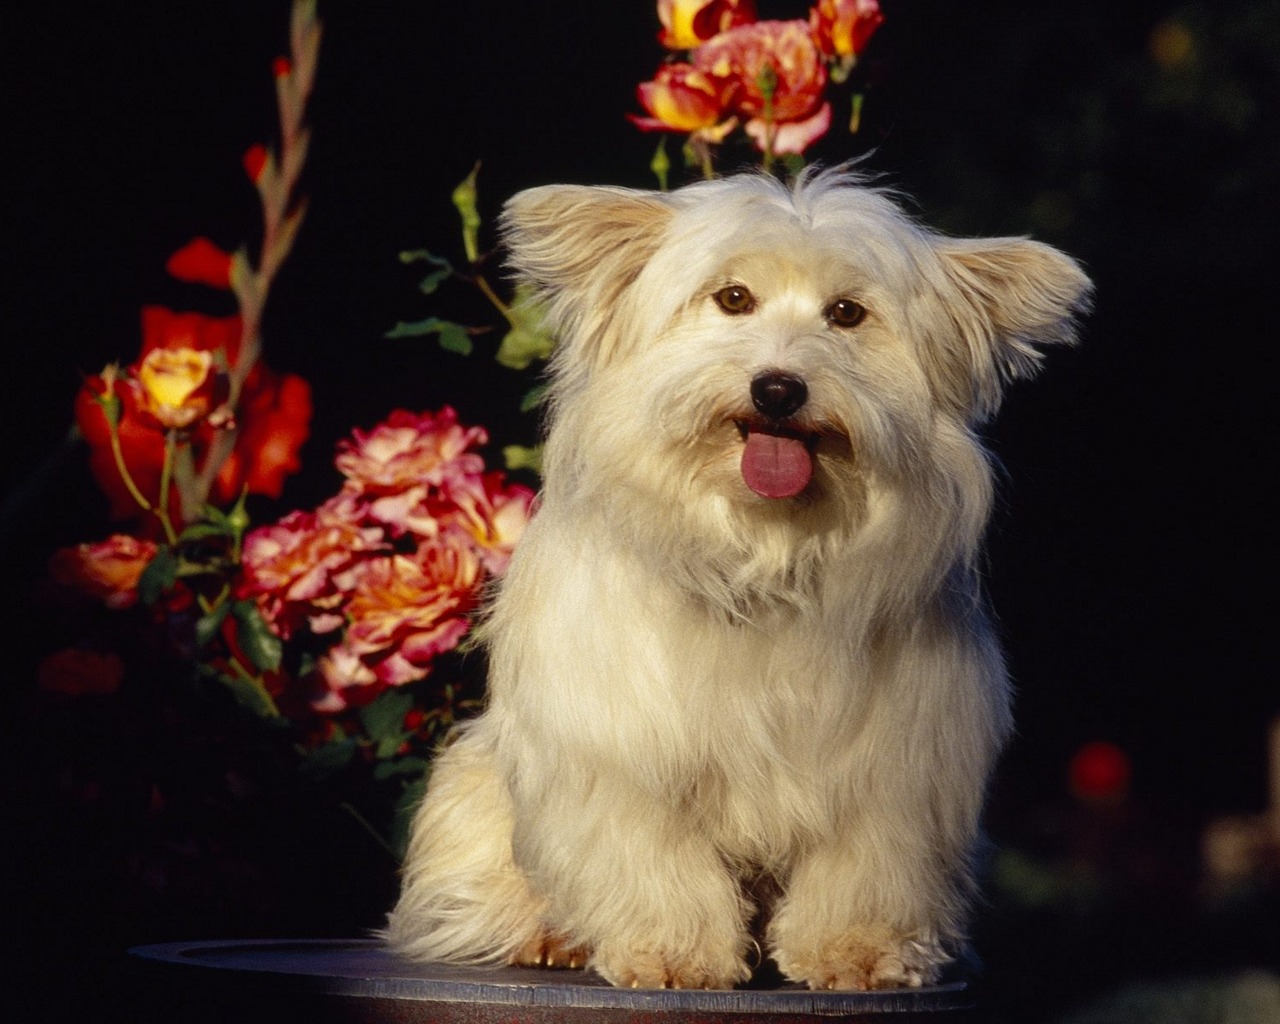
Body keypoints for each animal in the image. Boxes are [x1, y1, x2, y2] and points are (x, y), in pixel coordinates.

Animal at [381, 167, 1090, 993]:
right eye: (732, 298)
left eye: (847, 314)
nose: (778, 389)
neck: (762, 551)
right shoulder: (624, 754)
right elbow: (648, 855)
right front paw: (671, 950)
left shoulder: (895, 772)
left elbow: (865, 868)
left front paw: (856, 949)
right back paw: (547, 931)